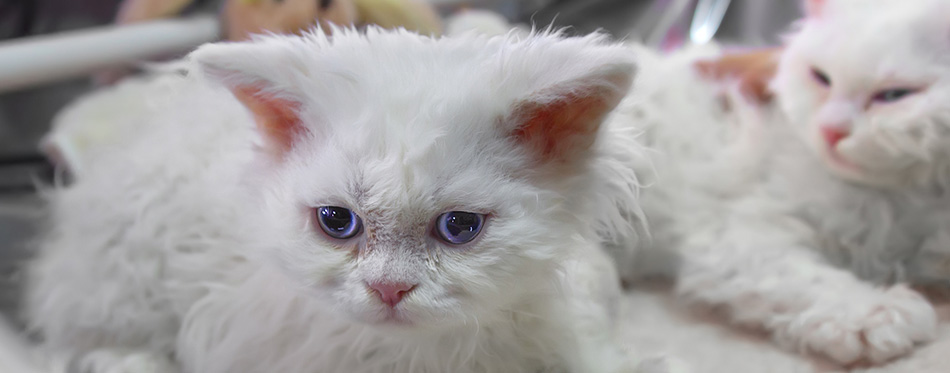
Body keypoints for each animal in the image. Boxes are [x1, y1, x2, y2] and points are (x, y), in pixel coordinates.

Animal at [628, 0, 948, 364]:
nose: (830, 129)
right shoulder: (739, 234)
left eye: (894, 95)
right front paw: (875, 312)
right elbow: (812, 280)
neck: (892, 197)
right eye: (821, 78)